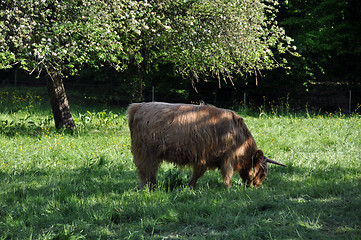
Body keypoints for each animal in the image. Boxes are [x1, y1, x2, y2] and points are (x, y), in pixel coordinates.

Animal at [126, 101, 284, 189]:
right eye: (262, 172)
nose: (256, 186)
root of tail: (138, 106)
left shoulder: (203, 158)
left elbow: (197, 174)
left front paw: (190, 187)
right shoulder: (227, 157)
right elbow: (227, 174)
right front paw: (229, 188)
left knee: (147, 171)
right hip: (146, 152)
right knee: (146, 171)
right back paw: (150, 188)